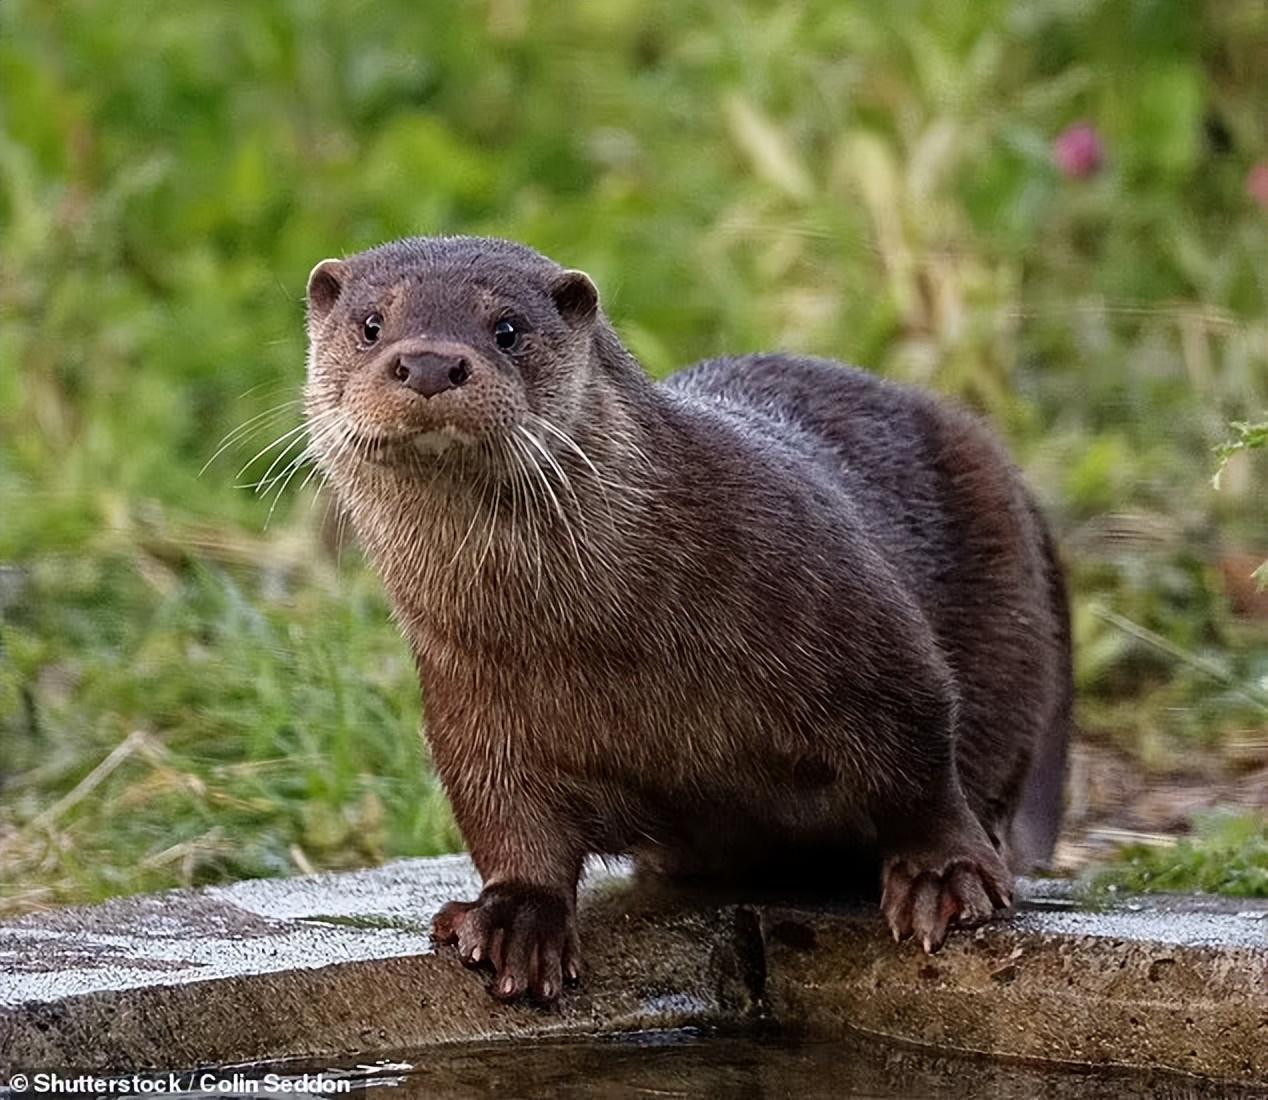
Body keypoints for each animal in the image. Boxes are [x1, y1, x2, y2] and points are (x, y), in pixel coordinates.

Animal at [304, 234, 1070, 1003]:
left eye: (508, 329)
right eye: (371, 324)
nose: (431, 362)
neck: (608, 637)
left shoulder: (855, 621)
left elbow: (919, 750)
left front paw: (941, 873)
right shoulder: (469, 698)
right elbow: (506, 819)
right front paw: (515, 918)